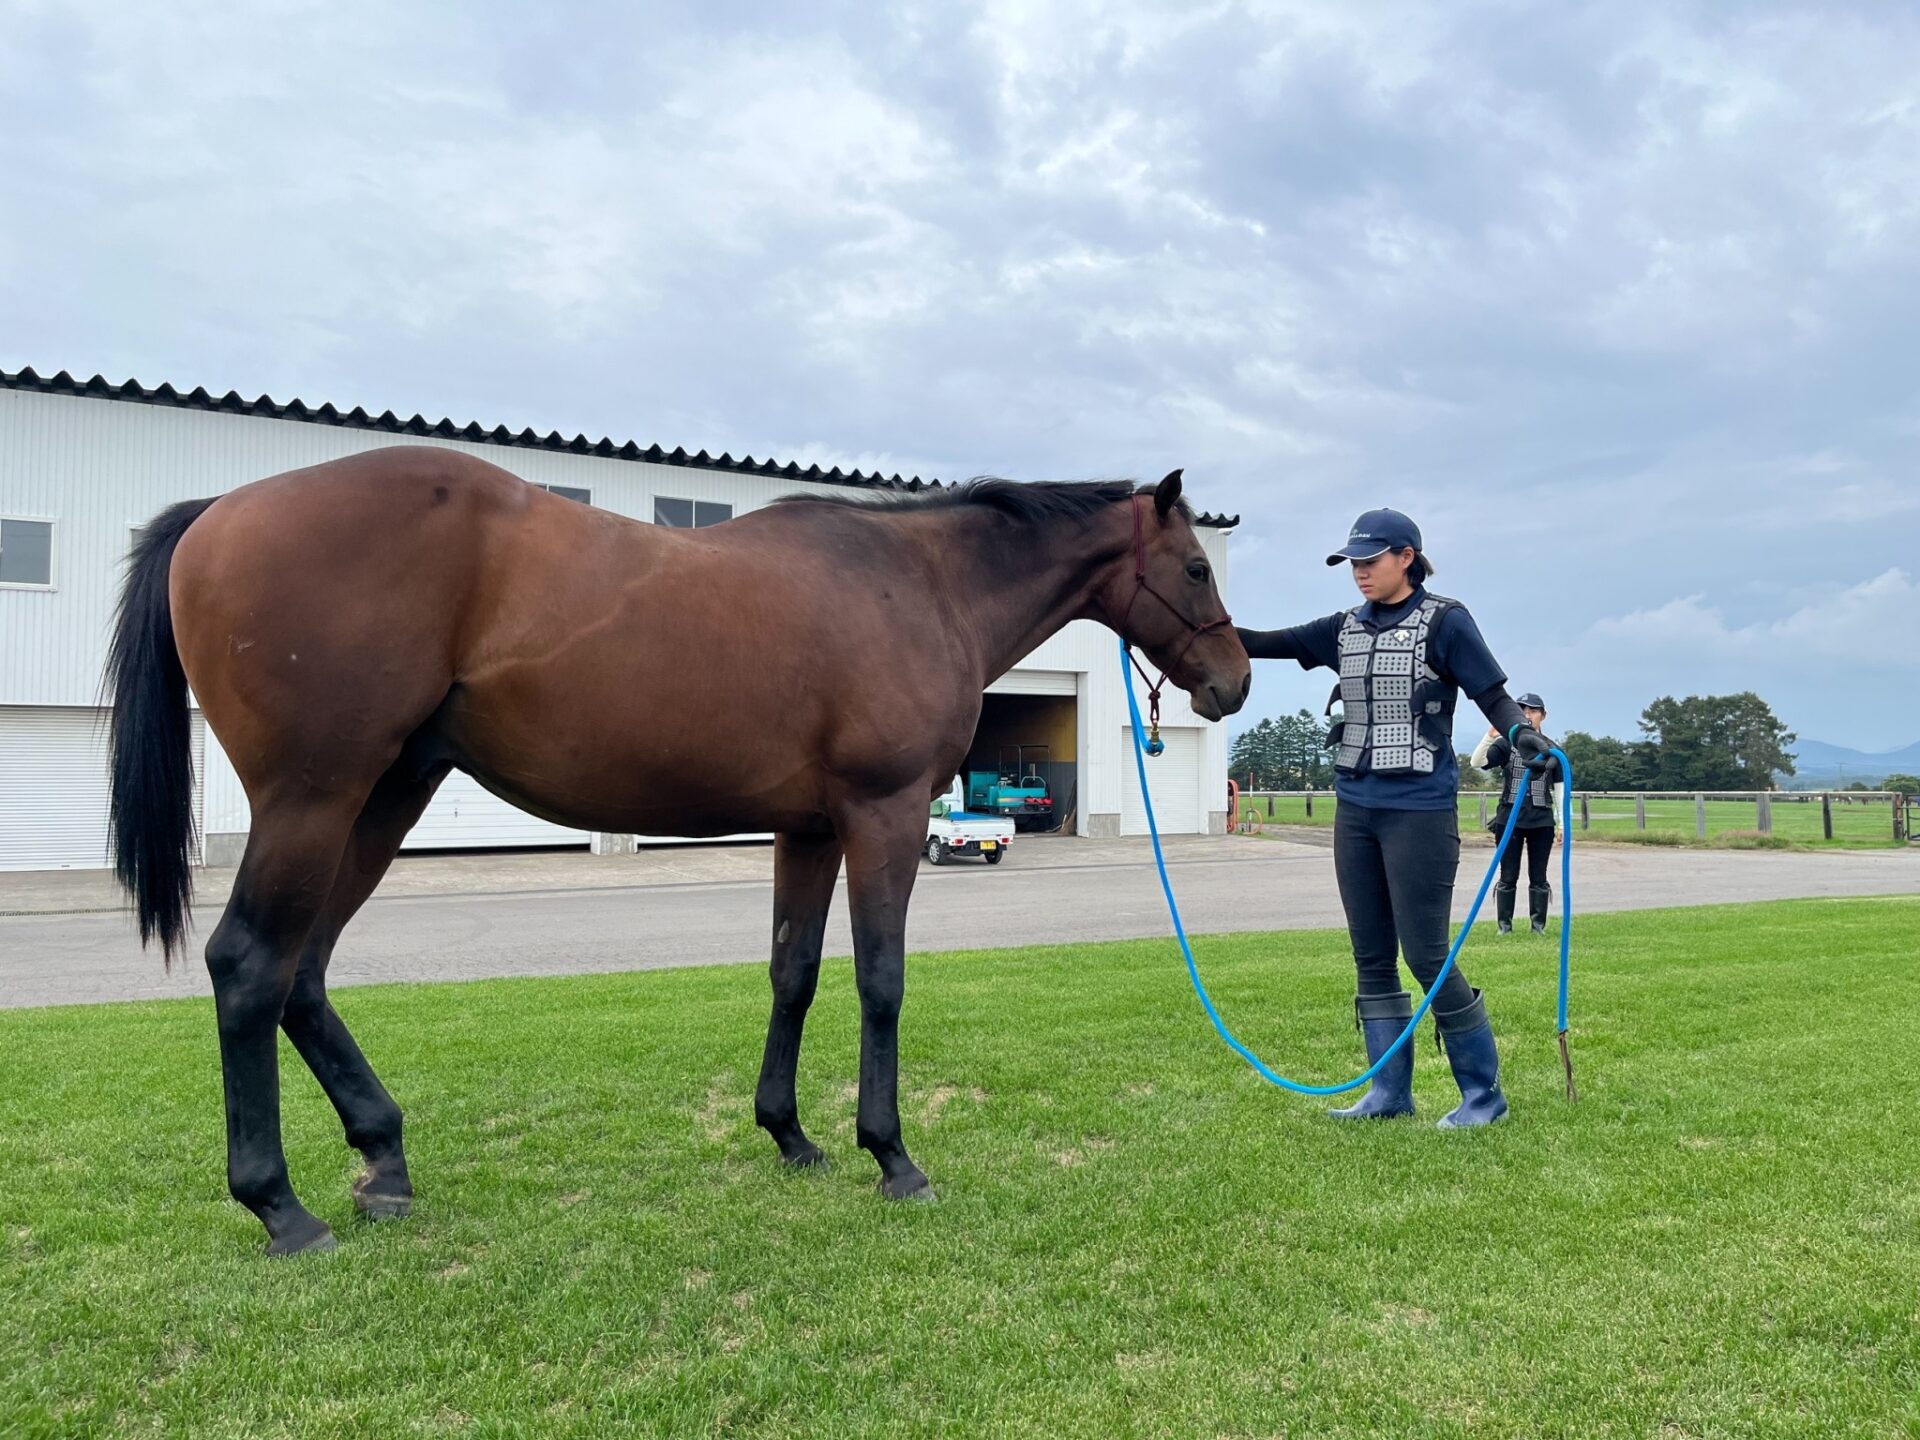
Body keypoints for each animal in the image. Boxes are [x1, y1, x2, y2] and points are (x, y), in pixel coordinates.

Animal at [105, 449, 1251, 1251]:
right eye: (1198, 566)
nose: (1234, 681)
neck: (916, 582)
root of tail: (219, 510)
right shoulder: (882, 817)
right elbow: (879, 981)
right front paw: (891, 1154)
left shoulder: (809, 828)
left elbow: (794, 973)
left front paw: (791, 1135)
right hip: (315, 800)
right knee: (251, 967)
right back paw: (280, 1206)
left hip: (383, 798)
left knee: (303, 973)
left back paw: (383, 1160)